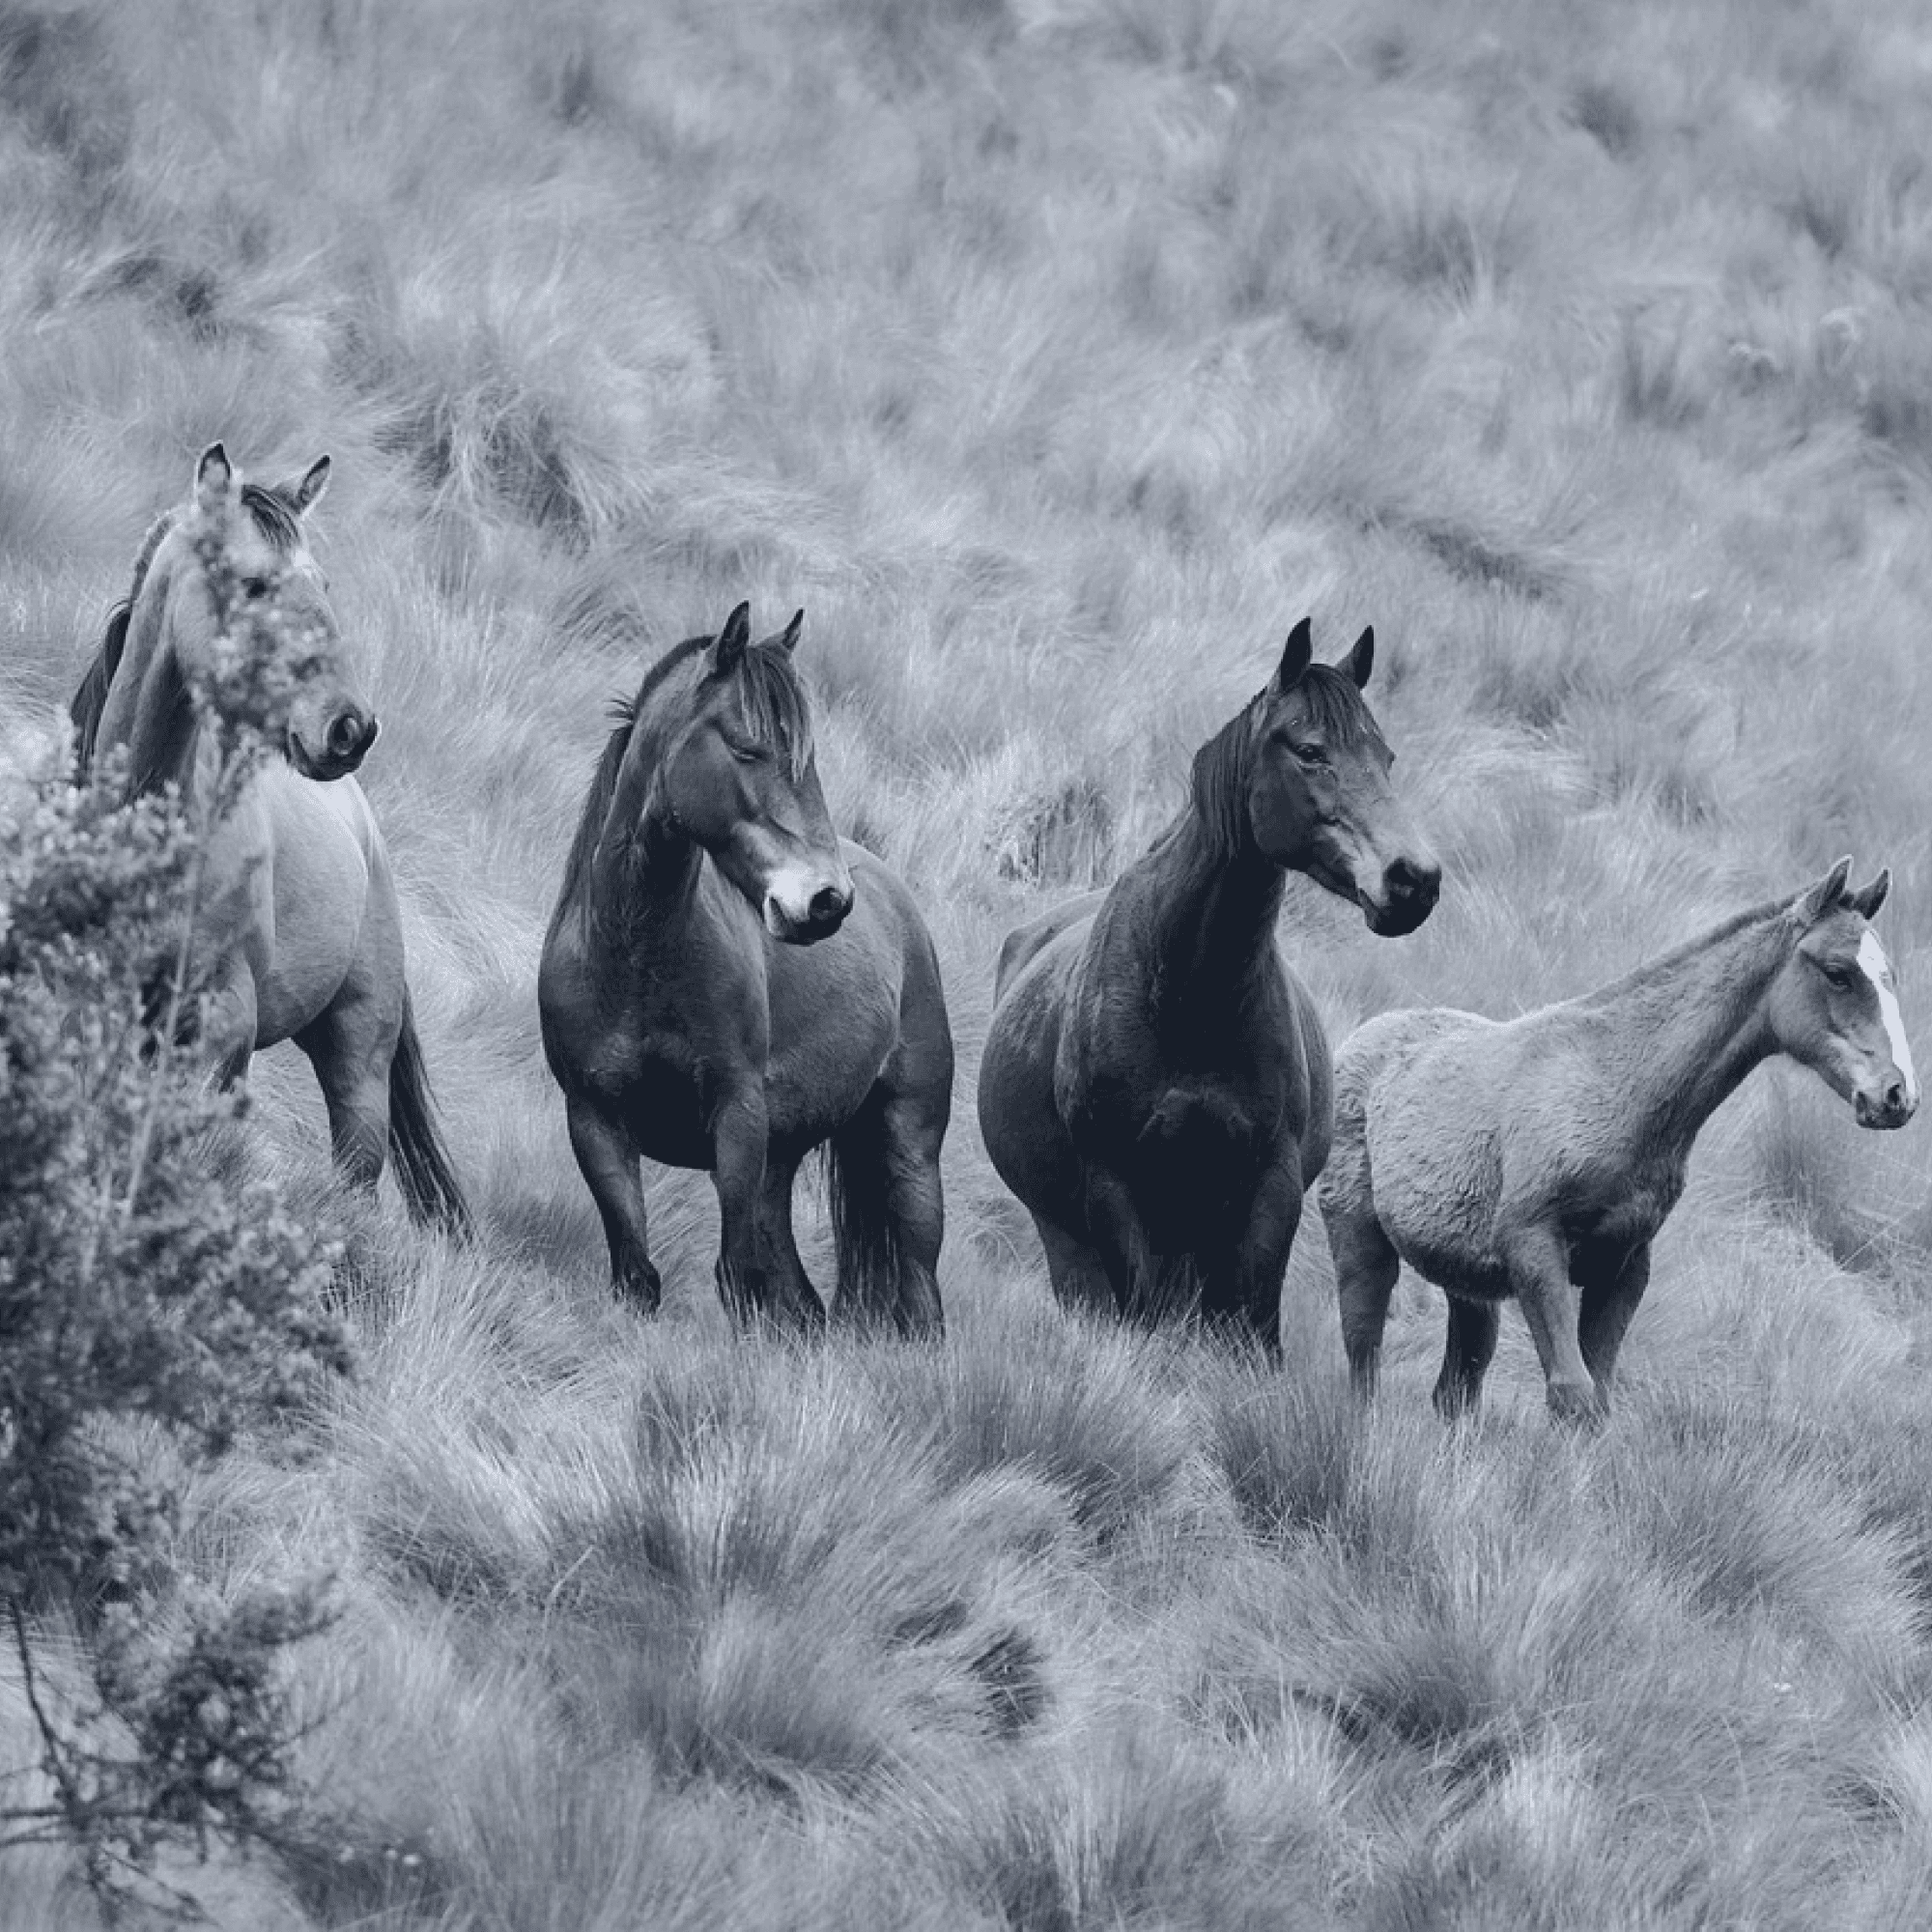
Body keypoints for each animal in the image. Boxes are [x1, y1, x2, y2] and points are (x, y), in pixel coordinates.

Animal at [533, 599, 954, 1329]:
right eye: (746, 748)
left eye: (806, 759)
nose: (826, 901)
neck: (634, 959)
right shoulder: (595, 1121)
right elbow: (638, 1275)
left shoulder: (737, 1117)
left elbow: (737, 1279)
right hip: (778, 1165)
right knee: (801, 1299)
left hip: (909, 1150)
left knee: (919, 1292)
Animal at [974, 626, 1445, 1352]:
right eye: (1310, 751)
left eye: (1386, 757)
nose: (1414, 880)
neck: (1188, 998)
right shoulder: (1116, 1187)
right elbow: (1145, 1313)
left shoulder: (1269, 1185)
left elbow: (1253, 1325)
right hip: (1071, 1241)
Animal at [1321, 854, 1924, 1430]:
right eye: (1837, 973)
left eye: (1891, 976)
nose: (1898, 1095)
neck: (1616, 1086)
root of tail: (1361, 1039)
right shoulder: (1534, 1250)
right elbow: (1573, 1394)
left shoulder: (1624, 1266)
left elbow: (1597, 1398)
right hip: (1361, 1244)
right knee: (1363, 1366)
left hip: (1468, 1283)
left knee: (1454, 1391)